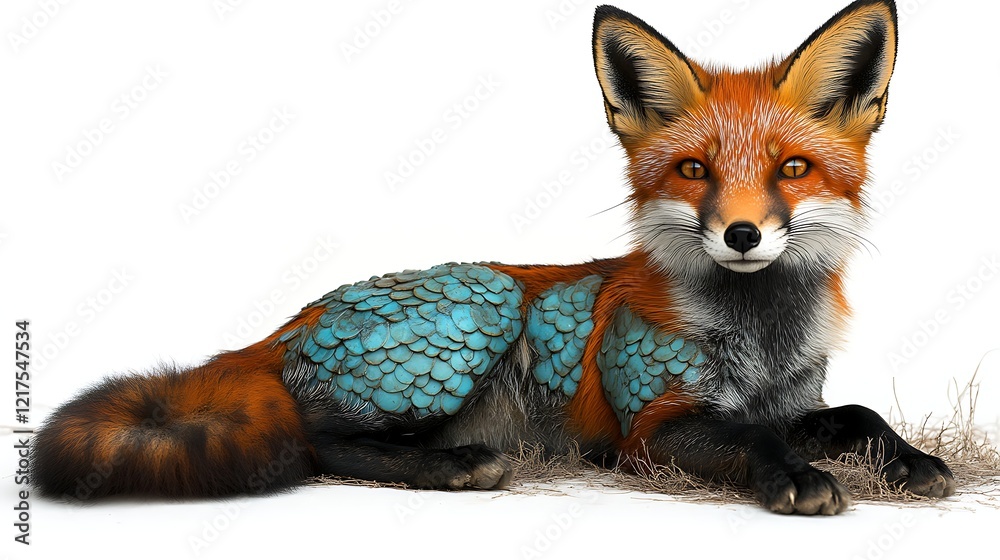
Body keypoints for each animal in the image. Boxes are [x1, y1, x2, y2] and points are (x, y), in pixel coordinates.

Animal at [32, 0, 955, 515]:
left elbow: (857, 416)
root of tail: (288, 323)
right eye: (695, 171)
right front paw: (795, 478)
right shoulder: (651, 429)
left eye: (791, 170)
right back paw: (451, 467)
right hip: (482, 308)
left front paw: (910, 461)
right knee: (315, 441)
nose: (741, 236)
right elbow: (754, 443)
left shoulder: (790, 399)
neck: (760, 340)